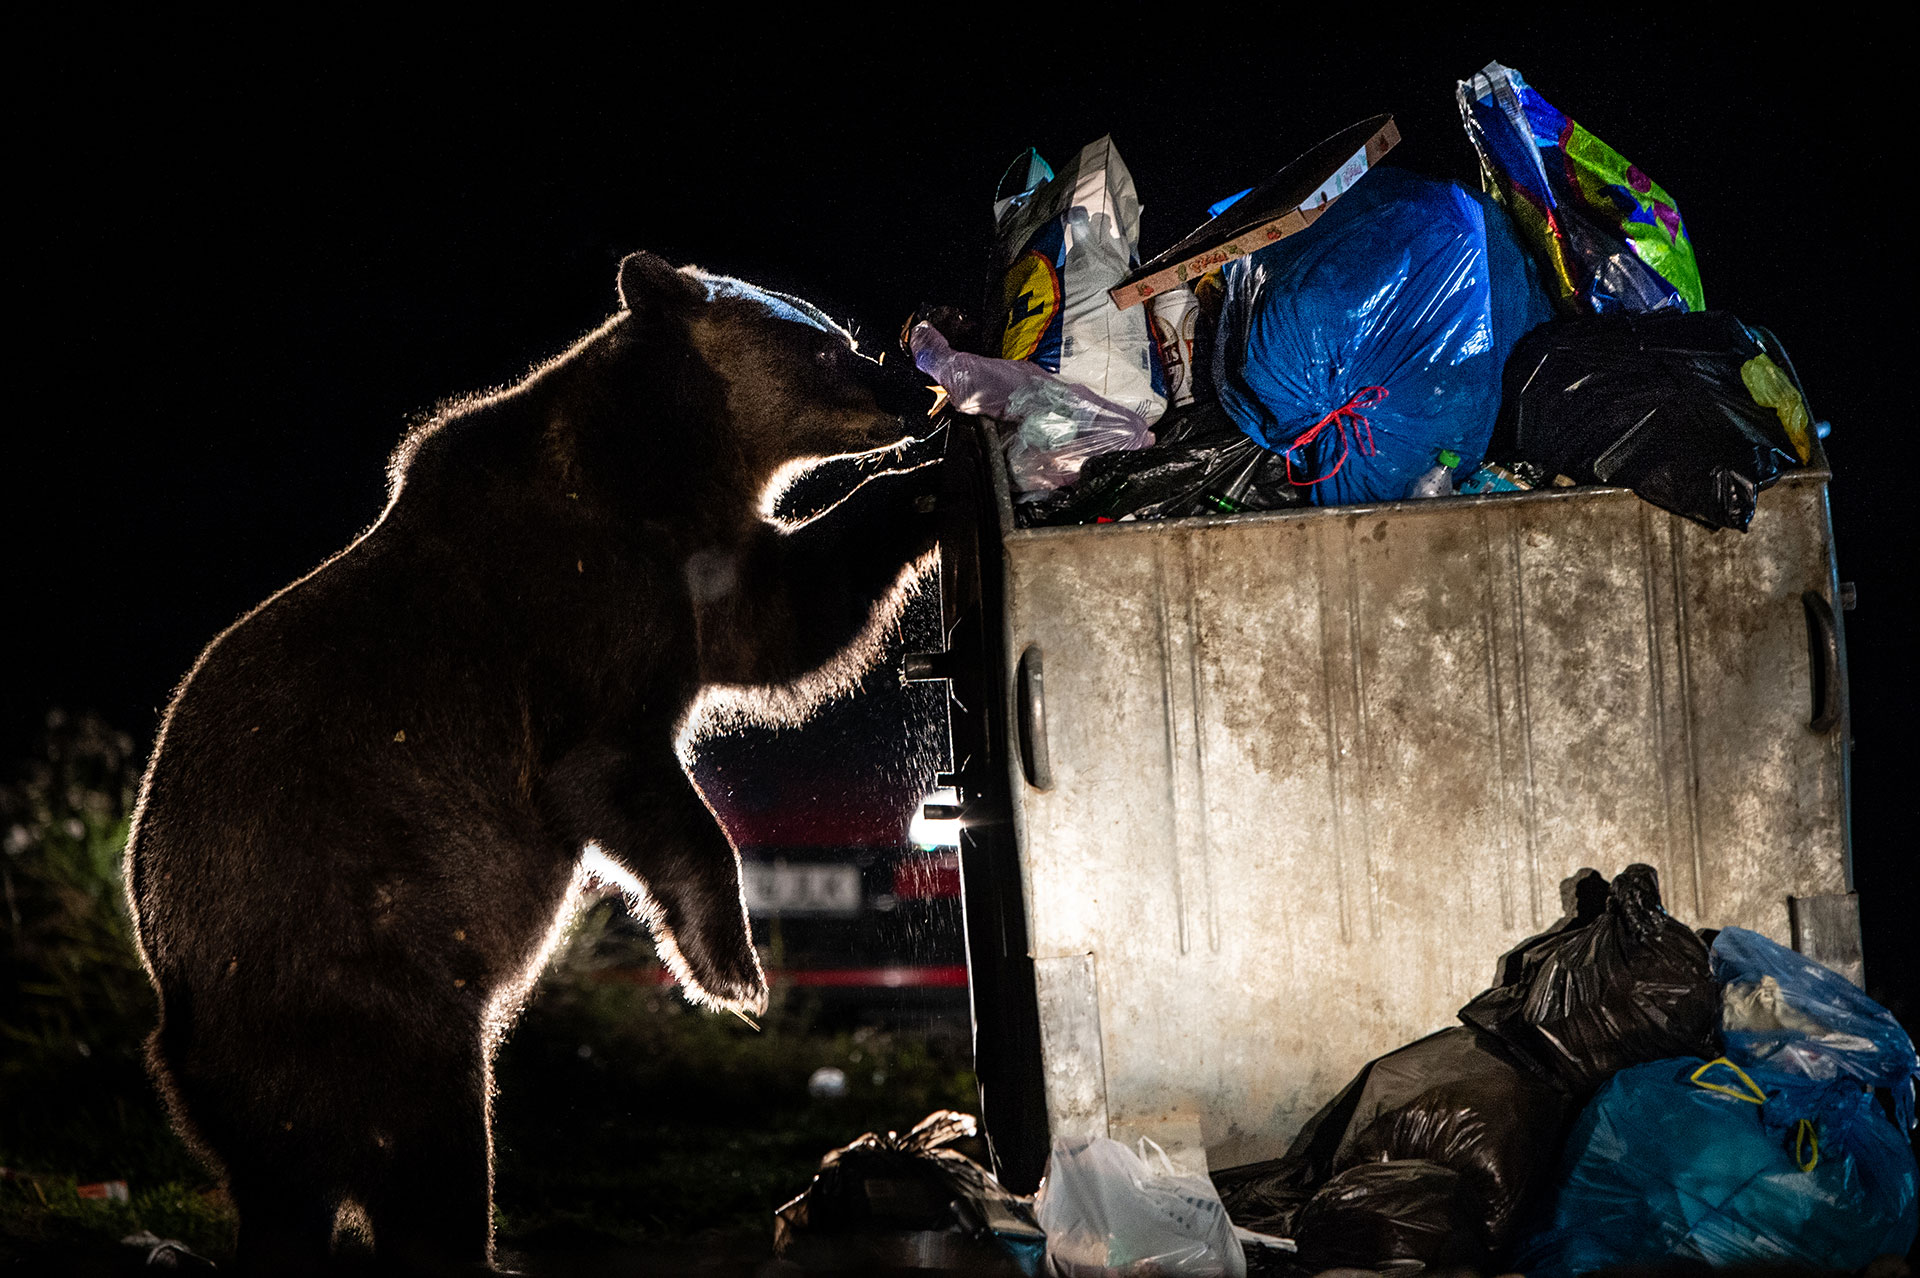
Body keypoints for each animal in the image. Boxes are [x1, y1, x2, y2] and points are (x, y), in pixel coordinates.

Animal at [121, 253, 944, 1266]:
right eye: (827, 346)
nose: (918, 389)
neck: (662, 471)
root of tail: (179, 1024)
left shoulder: (698, 573)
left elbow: (785, 617)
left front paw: (927, 486)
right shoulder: (572, 611)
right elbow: (613, 768)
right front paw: (732, 971)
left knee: (294, 1193)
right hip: (363, 989)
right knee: (429, 1147)